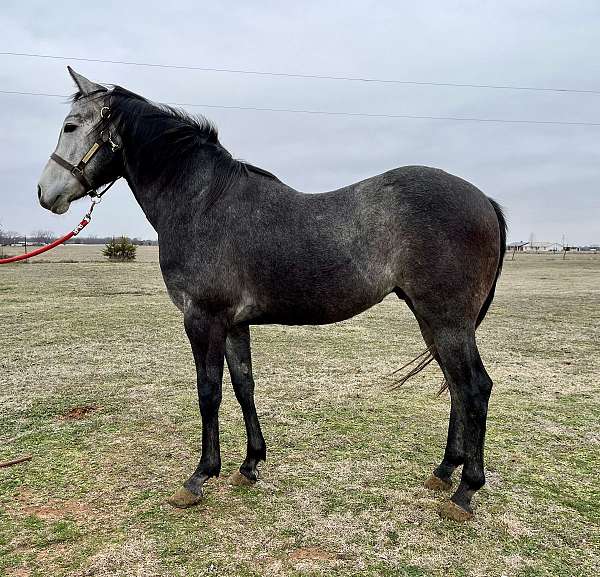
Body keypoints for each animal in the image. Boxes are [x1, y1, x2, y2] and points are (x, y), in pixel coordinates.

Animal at [37, 68, 506, 520]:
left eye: (70, 125)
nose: (44, 193)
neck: (203, 202)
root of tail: (484, 199)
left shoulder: (202, 319)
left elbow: (208, 392)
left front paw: (199, 477)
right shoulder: (234, 324)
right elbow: (244, 385)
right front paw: (249, 465)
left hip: (447, 320)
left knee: (474, 388)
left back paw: (465, 490)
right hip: (432, 320)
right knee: (456, 387)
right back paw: (444, 471)